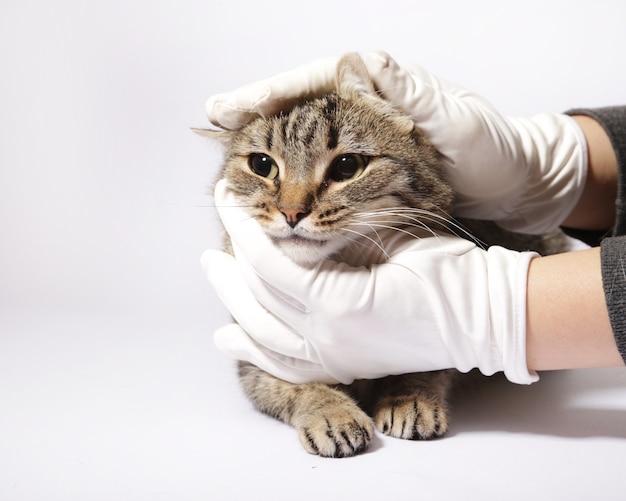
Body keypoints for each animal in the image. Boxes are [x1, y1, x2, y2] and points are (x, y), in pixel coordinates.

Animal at [196, 52, 564, 456]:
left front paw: (409, 398)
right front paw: (331, 412)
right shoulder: (255, 356)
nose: (292, 212)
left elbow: (431, 362)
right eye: (262, 165)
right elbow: (294, 386)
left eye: (347, 166)